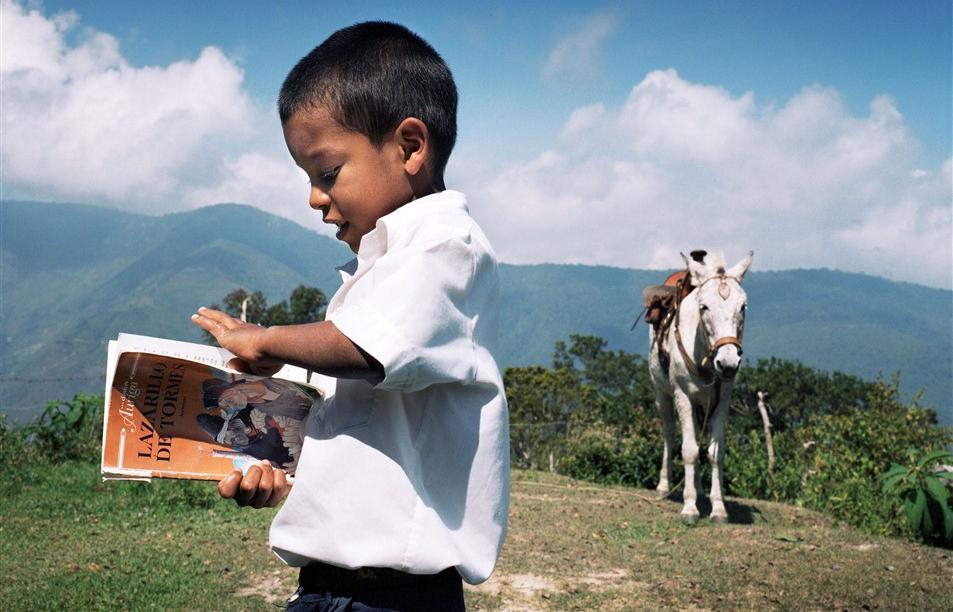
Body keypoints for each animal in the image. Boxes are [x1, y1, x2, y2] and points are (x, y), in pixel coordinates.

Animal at [648, 251, 752, 524]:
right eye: (704, 306)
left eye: (743, 307)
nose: (728, 363)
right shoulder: (682, 396)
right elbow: (689, 450)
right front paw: (689, 508)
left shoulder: (723, 399)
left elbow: (714, 452)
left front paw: (718, 508)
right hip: (662, 393)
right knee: (670, 433)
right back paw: (665, 486)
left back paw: (700, 490)